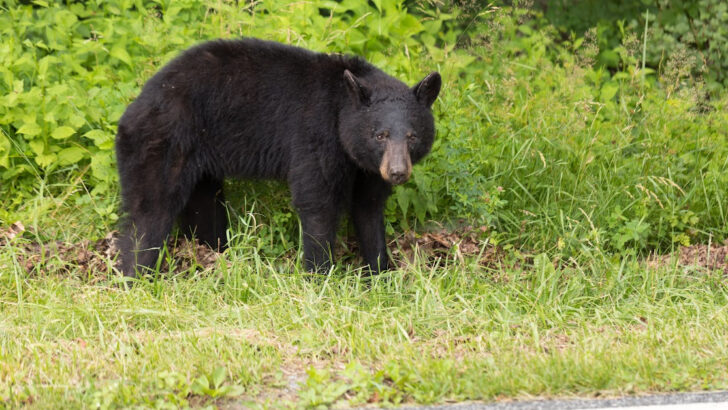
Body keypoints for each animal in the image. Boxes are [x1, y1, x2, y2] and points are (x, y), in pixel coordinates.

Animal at [115, 38, 441, 277]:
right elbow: (316, 201)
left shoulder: (368, 168)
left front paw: (381, 272)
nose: (397, 172)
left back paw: (212, 252)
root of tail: (136, 104)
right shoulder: (315, 135)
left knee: (204, 208)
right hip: (164, 142)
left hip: (199, 164)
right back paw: (136, 274)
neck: (341, 112)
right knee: (150, 212)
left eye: (412, 136)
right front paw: (320, 273)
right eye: (380, 135)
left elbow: (369, 208)